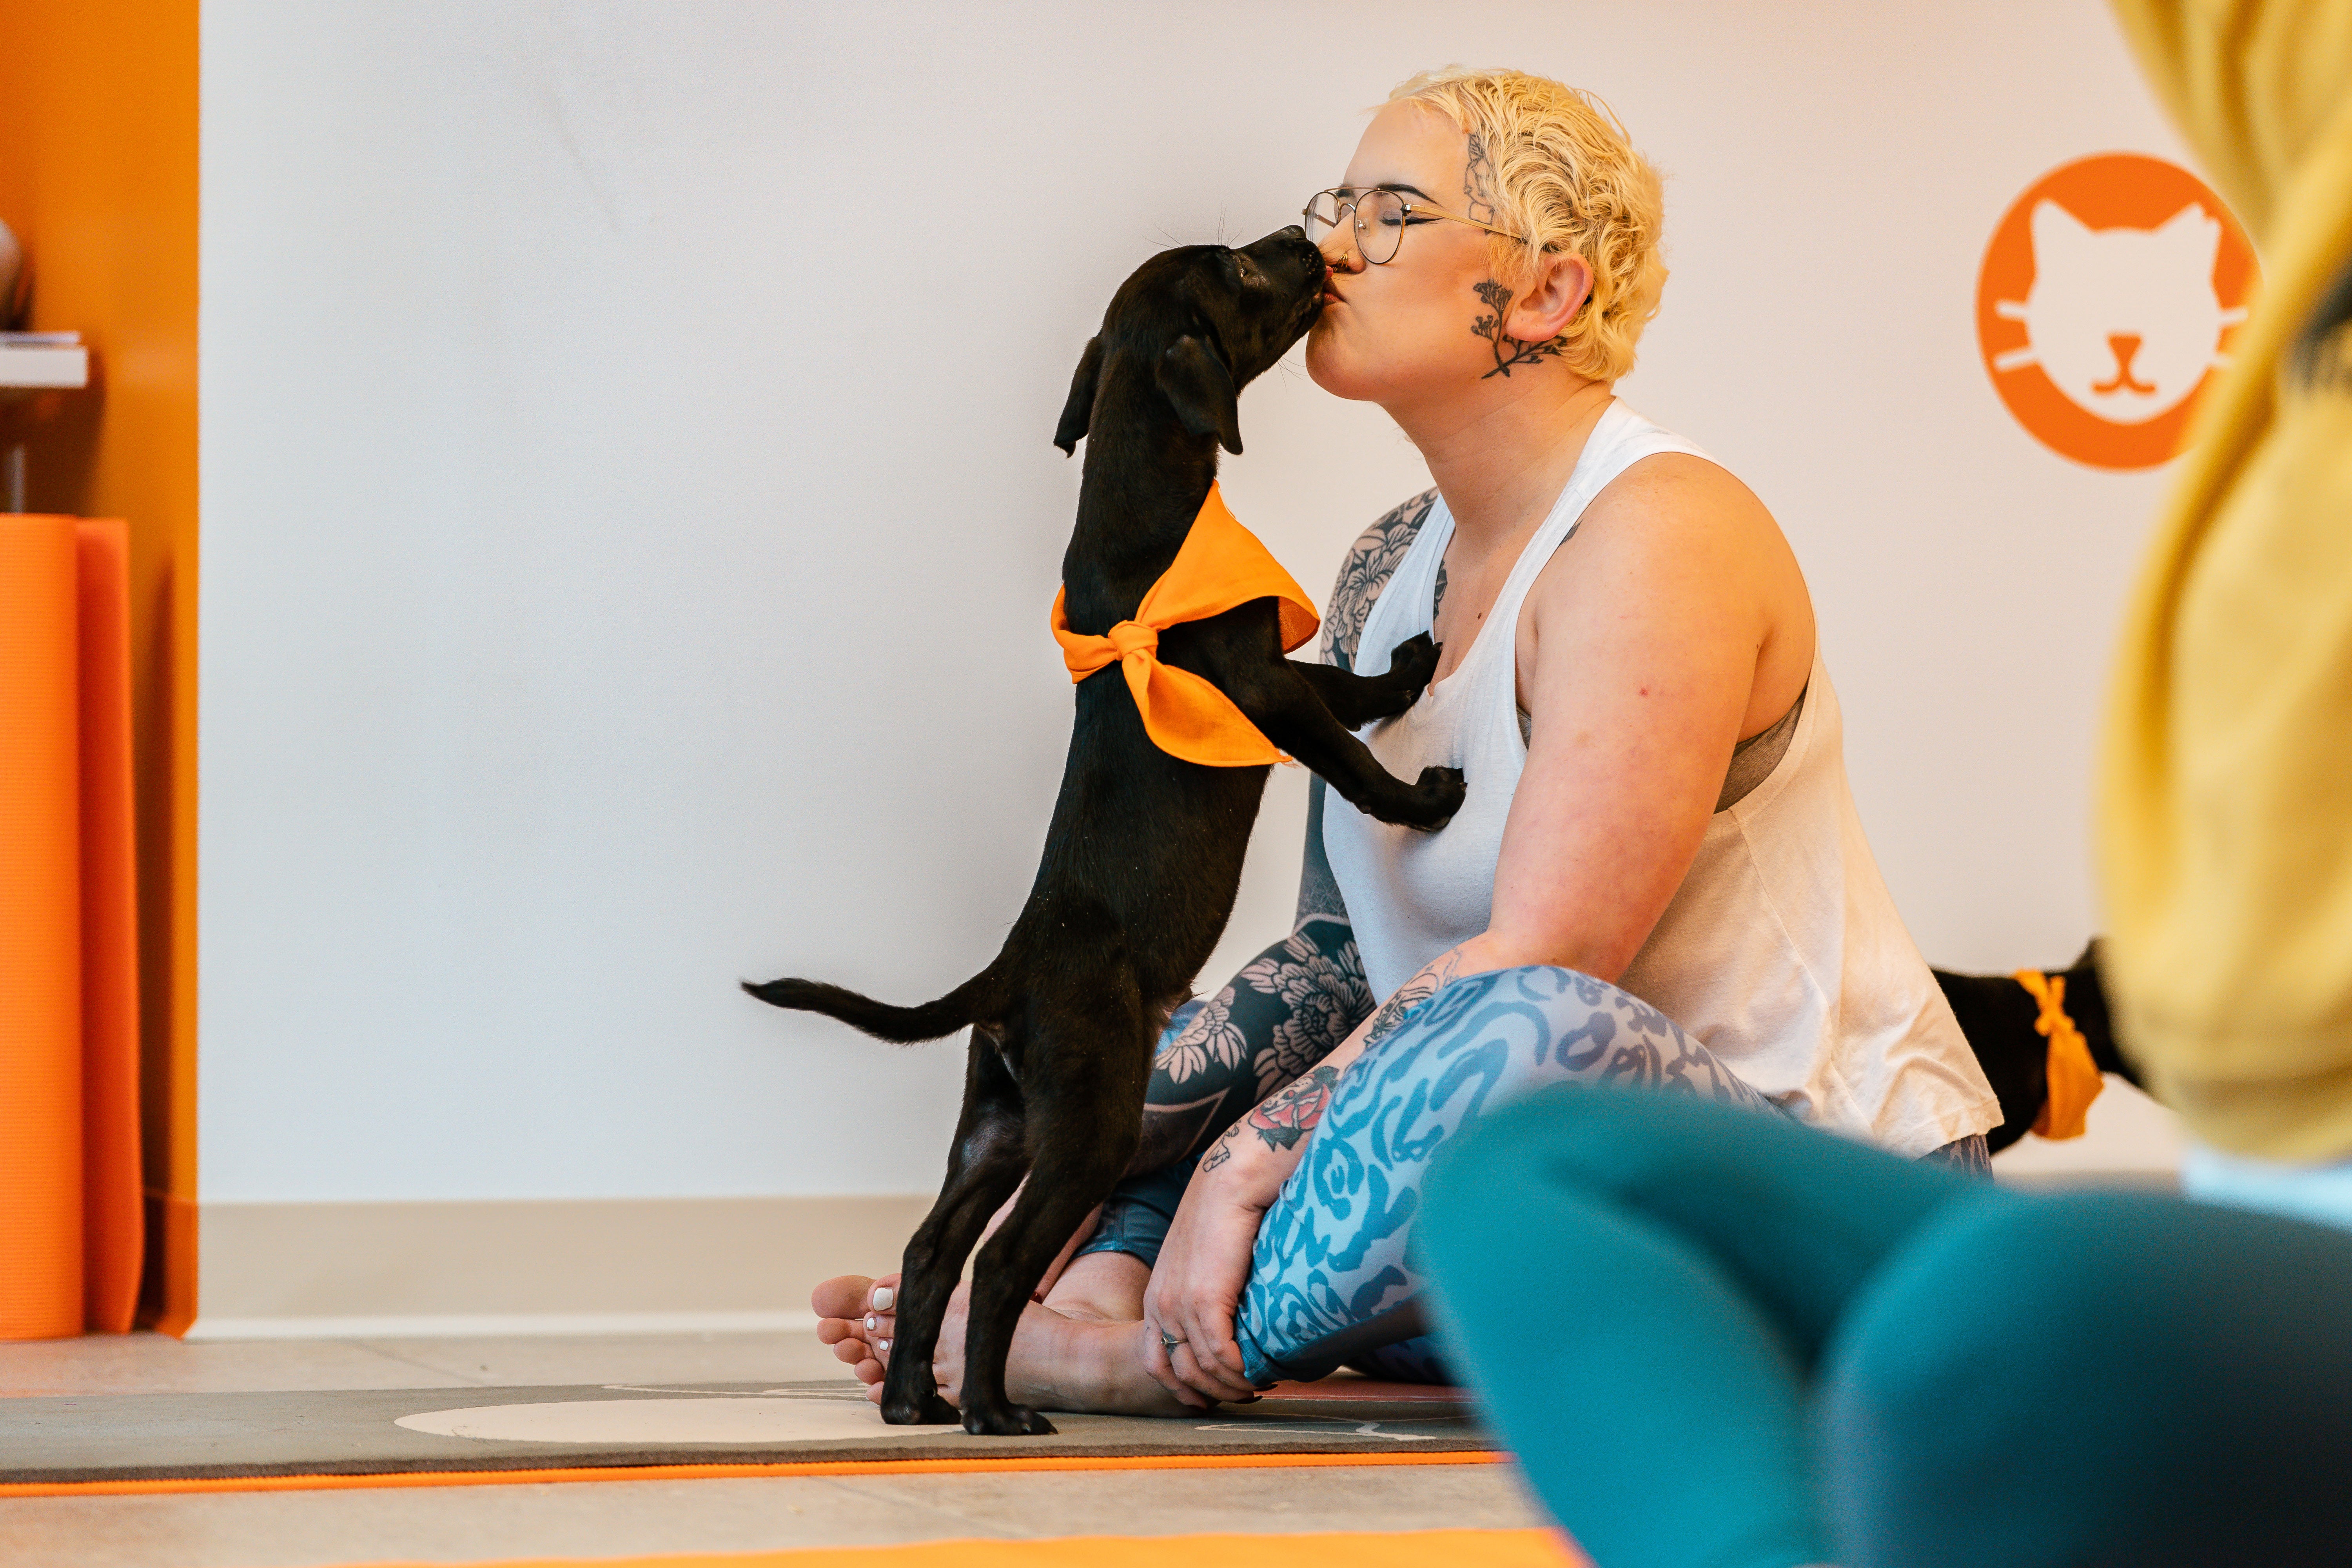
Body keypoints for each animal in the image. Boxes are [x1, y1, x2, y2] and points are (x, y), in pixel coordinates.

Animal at [743, 227, 1458, 1439]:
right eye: (1246, 273)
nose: (1305, 238)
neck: (1144, 498)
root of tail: (1008, 973)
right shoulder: (1263, 687)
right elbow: (1355, 756)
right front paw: (1425, 797)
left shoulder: (1281, 675)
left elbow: (1353, 689)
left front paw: (1405, 666)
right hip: (1091, 1120)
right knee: (1001, 1261)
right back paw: (992, 1411)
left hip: (1000, 1122)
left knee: (932, 1248)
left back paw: (913, 1403)